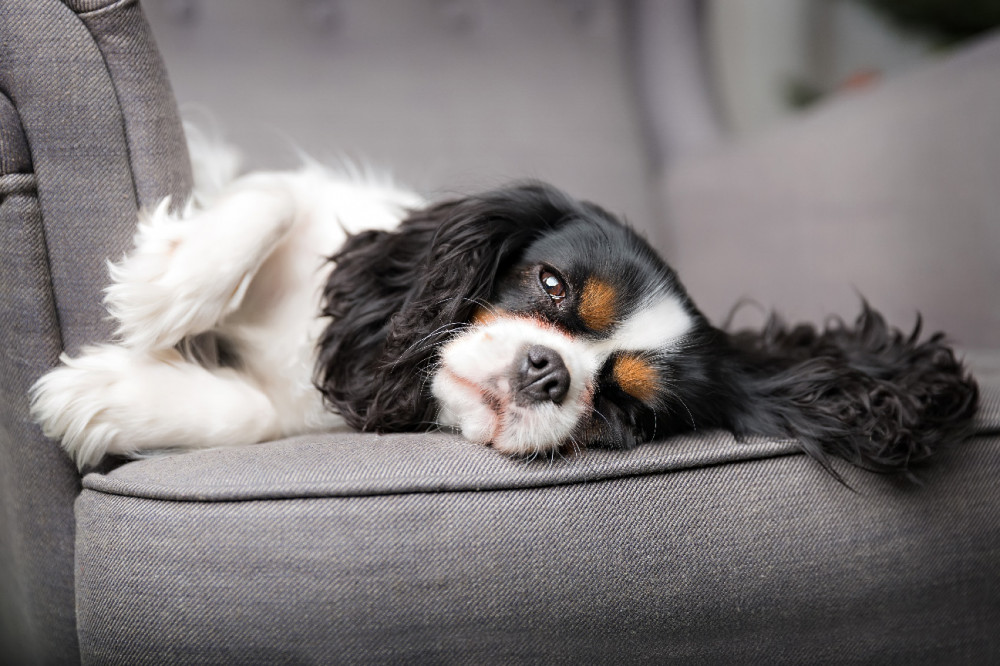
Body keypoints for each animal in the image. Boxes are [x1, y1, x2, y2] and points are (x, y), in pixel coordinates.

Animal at [27, 147, 980, 478]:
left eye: (620, 410)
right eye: (552, 286)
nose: (548, 371)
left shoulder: (292, 411)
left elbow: (244, 415)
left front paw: (99, 396)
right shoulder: (320, 206)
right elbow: (268, 198)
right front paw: (159, 287)